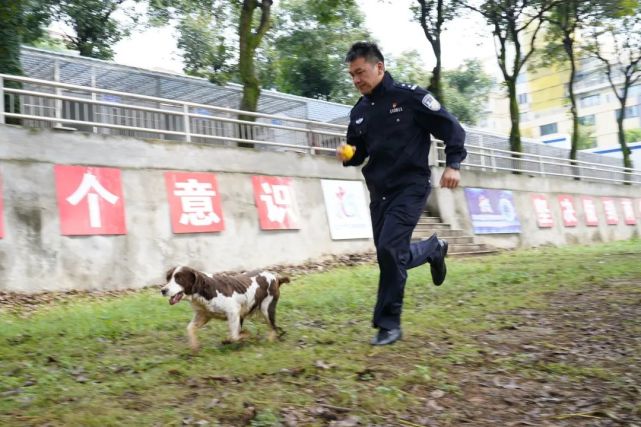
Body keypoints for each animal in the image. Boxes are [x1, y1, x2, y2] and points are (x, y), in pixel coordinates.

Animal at [160, 268, 290, 352]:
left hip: (266, 308)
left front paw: (247, 335)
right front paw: (194, 346)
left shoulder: (233, 312)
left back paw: (269, 341)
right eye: (168, 278)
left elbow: (234, 336)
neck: (204, 290)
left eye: (179, 279)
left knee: (273, 328)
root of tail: (276, 277)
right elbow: (190, 328)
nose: (163, 290)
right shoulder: (204, 315)